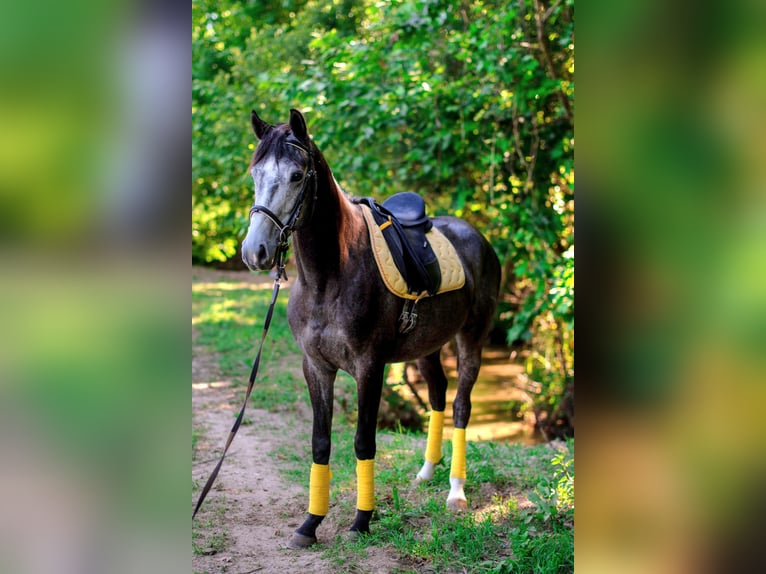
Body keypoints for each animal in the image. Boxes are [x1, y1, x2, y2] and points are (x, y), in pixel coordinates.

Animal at [243, 109, 500, 548]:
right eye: (255, 173)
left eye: (297, 175)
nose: (254, 251)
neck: (329, 277)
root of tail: (478, 237)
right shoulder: (315, 367)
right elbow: (321, 443)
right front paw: (309, 524)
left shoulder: (369, 367)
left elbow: (364, 441)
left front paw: (362, 520)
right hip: (427, 346)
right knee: (437, 393)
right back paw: (426, 472)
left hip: (472, 339)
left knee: (461, 407)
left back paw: (455, 491)